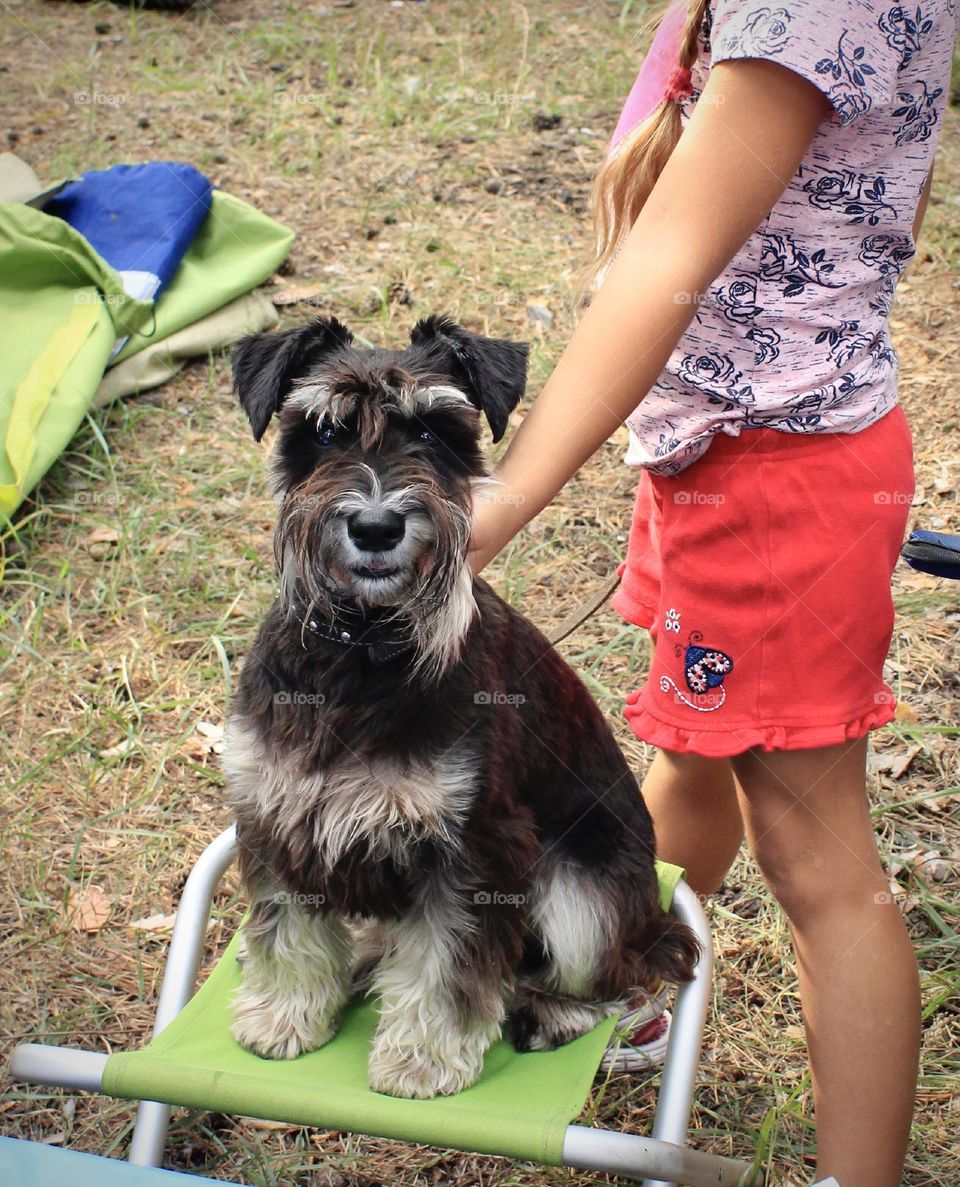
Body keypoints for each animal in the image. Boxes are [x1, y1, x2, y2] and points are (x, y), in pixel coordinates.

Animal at [224, 318, 697, 1101]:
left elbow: (446, 963)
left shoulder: (473, 844)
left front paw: (422, 1059)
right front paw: (282, 1016)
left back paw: (552, 1011)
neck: (362, 649)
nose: (377, 526)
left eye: (432, 432)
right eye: (323, 432)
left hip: (580, 898)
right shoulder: (279, 814)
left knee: (620, 971)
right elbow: (288, 930)